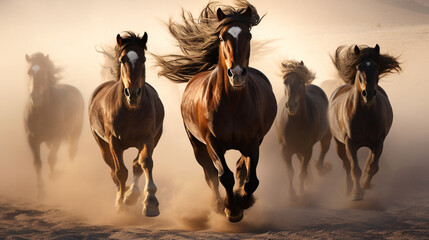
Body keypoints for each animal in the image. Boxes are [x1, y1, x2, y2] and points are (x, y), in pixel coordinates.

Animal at [88, 31, 164, 217]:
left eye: (143, 59)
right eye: (123, 59)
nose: (133, 93)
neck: (131, 111)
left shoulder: (147, 138)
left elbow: (145, 163)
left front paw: (150, 203)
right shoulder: (114, 141)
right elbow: (121, 172)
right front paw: (120, 205)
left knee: (137, 165)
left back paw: (131, 195)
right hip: (102, 144)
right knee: (113, 170)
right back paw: (123, 196)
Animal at [155, 0, 276, 222]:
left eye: (248, 36)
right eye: (221, 37)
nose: (236, 74)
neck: (232, 105)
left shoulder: (253, 142)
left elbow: (251, 180)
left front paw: (243, 202)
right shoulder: (212, 143)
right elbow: (223, 176)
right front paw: (231, 209)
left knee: (240, 167)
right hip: (196, 144)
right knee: (210, 174)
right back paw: (219, 204)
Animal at [276, 59, 332, 199]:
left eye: (300, 82)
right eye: (285, 82)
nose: (291, 106)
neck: (296, 124)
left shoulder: (307, 149)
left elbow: (301, 172)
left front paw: (301, 192)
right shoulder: (285, 150)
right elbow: (290, 172)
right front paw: (292, 194)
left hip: (326, 137)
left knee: (323, 151)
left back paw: (321, 170)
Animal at [328, 44, 402, 201]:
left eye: (376, 67)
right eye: (359, 67)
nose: (368, 94)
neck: (365, 115)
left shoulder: (379, 141)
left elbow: (373, 166)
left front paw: (365, 185)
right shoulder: (350, 143)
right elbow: (354, 168)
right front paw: (356, 193)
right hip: (339, 144)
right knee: (346, 165)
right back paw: (348, 188)